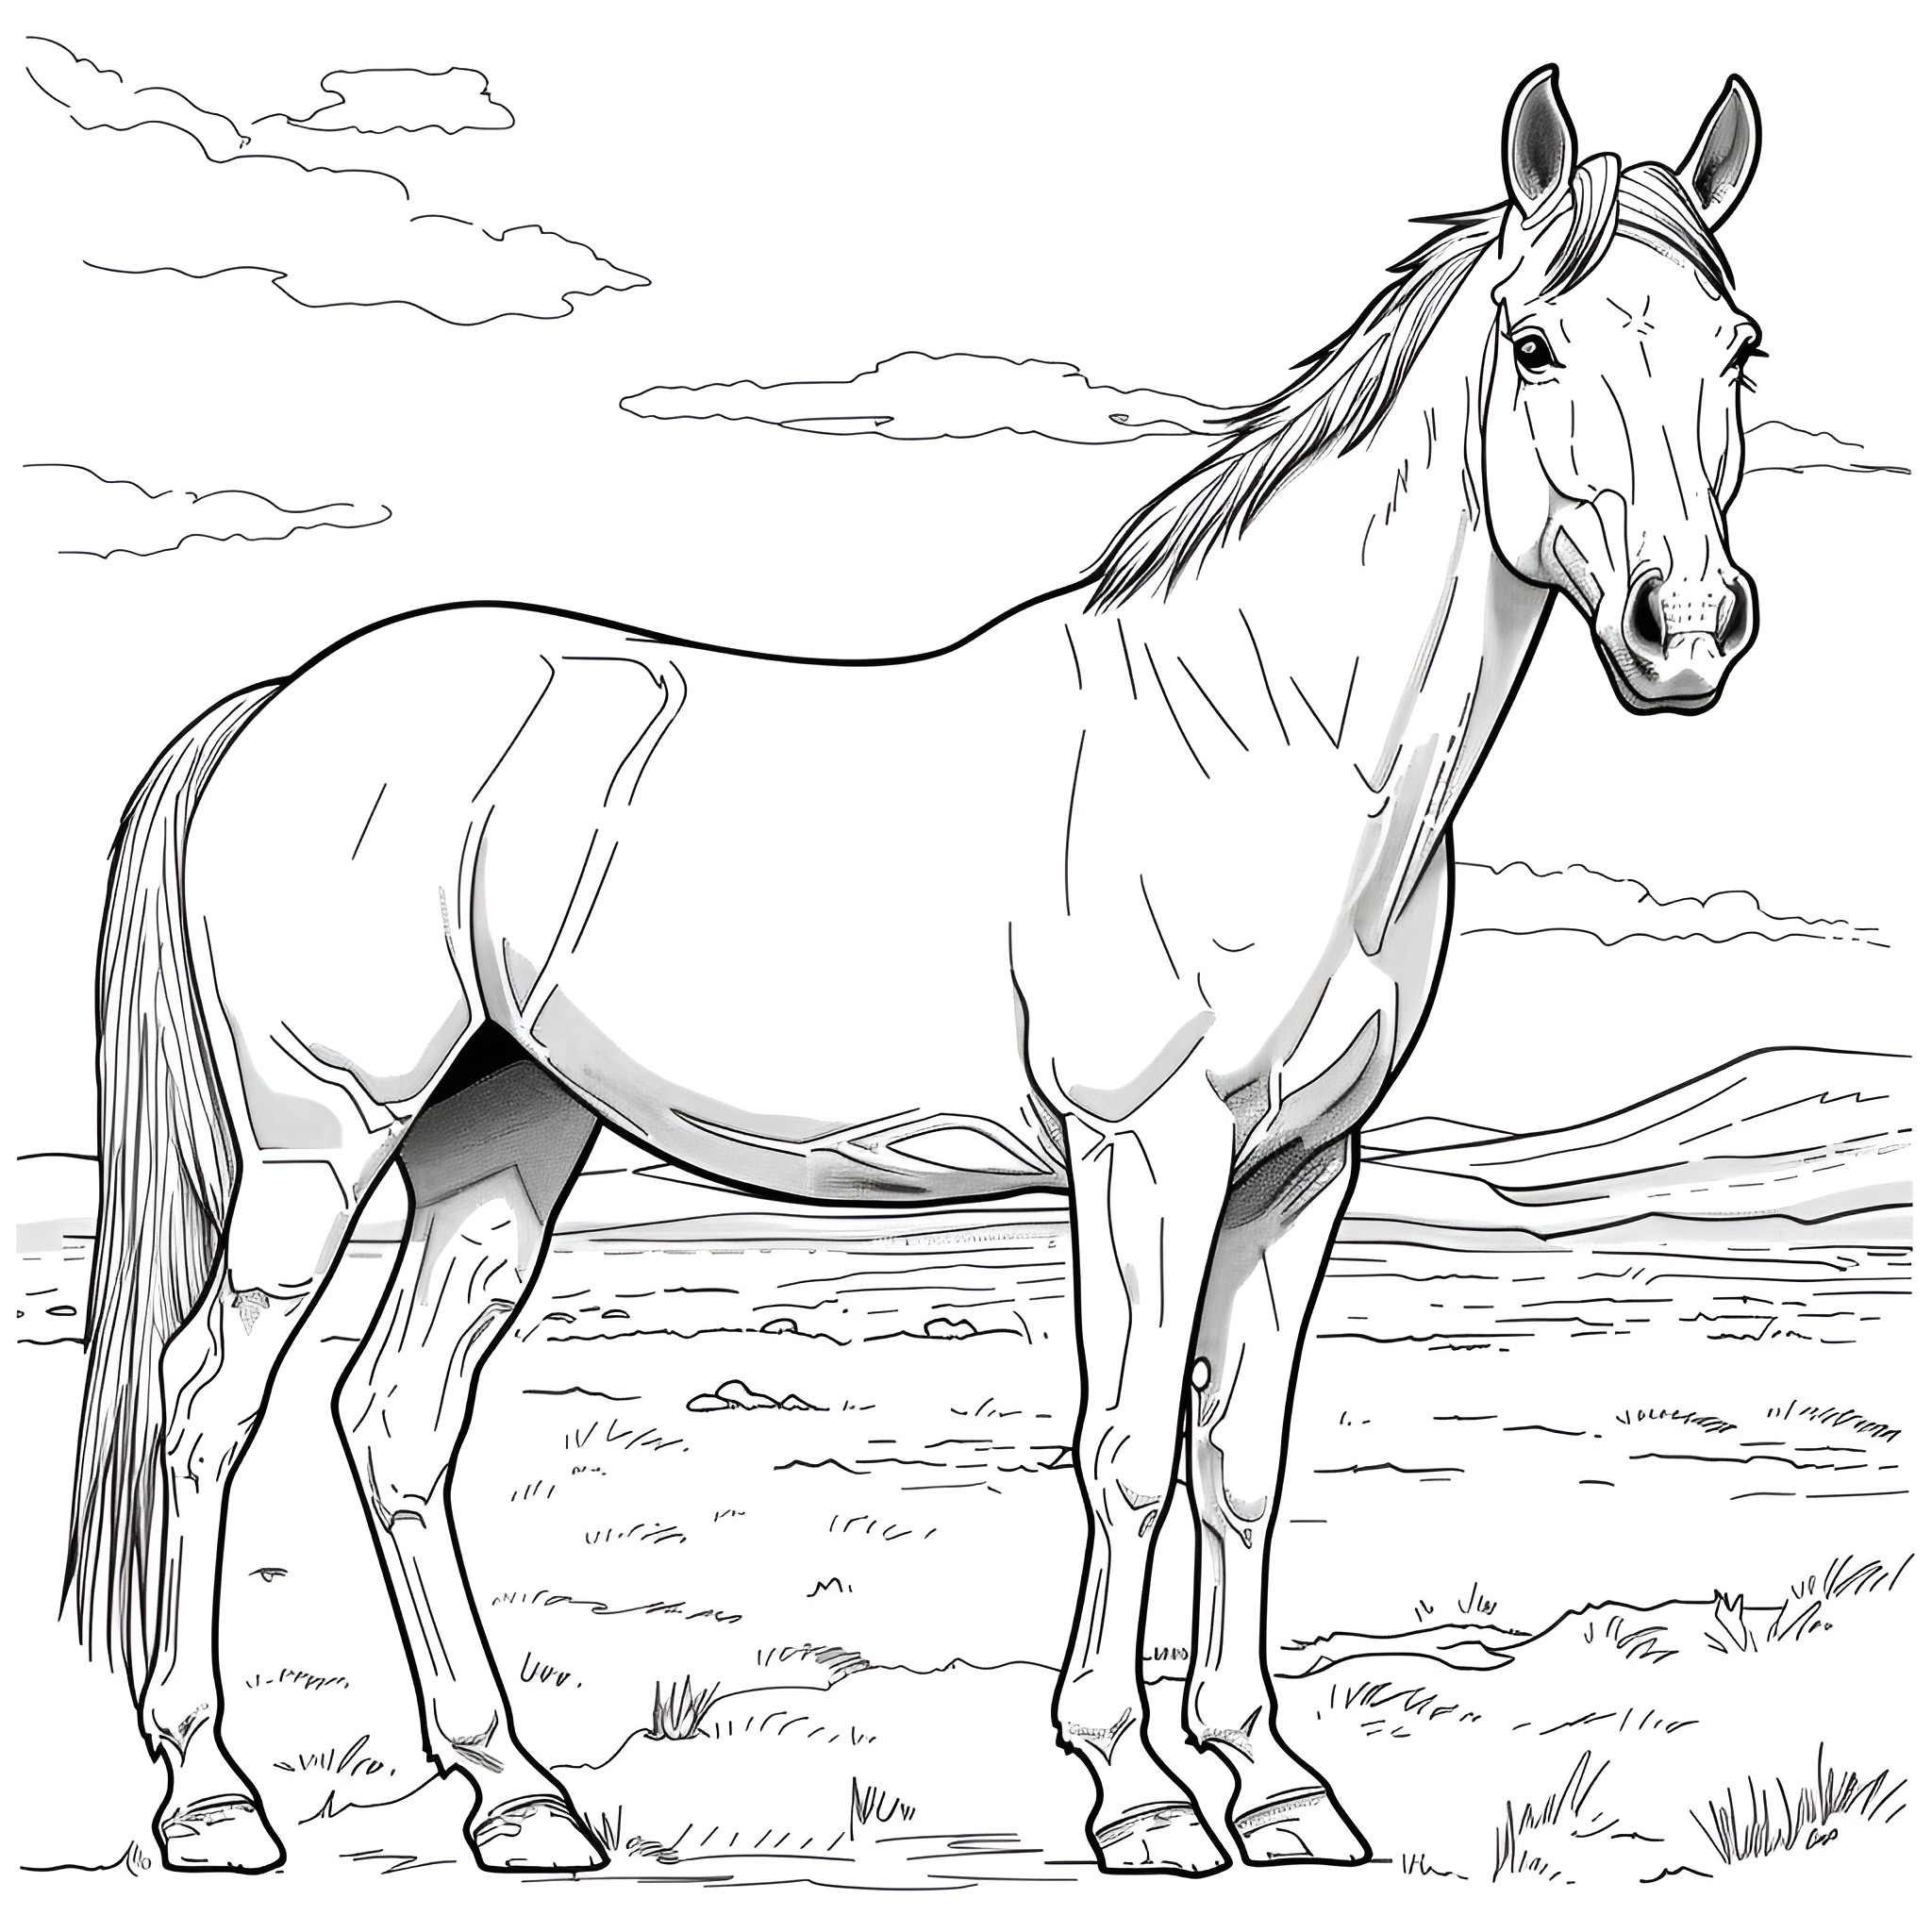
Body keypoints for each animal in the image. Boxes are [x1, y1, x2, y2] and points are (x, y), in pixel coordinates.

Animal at [67, 65, 1764, 1877]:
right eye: (1534, 342)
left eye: (1738, 348)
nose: (1685, 631)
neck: (1261, 736)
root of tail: (277, 702)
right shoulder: (1144, 1150)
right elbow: (1125, 1449)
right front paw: (1139, 1793)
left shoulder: (1304, 1168)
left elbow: (1242, 1458)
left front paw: (1280, 1786)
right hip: (319, 1146)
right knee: (201, 1409)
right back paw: (211, 1797)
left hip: (495, 1134)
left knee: (396, 1422)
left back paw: (519, 1797)